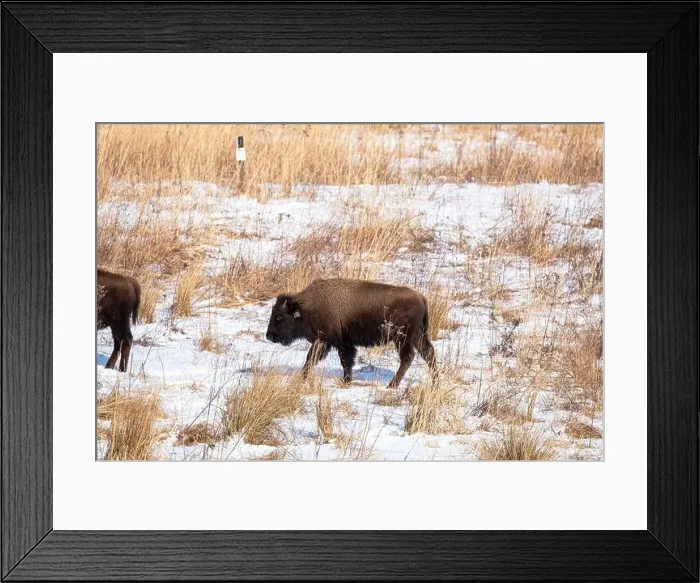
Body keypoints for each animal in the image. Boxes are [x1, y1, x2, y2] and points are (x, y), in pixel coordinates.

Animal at [265, 278, 437, 388]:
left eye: (279, 316)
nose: (269, 336)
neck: (307, 306)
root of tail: (421, 298)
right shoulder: (344, 343)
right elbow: (346, 362)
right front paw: (347, 380)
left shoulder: (324, 341)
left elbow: (311, 359)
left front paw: (302, 378)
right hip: (417, 336)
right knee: (428, 353)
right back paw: (435, 382)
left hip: (402, 337)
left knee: (408, 357)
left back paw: (391, 385)